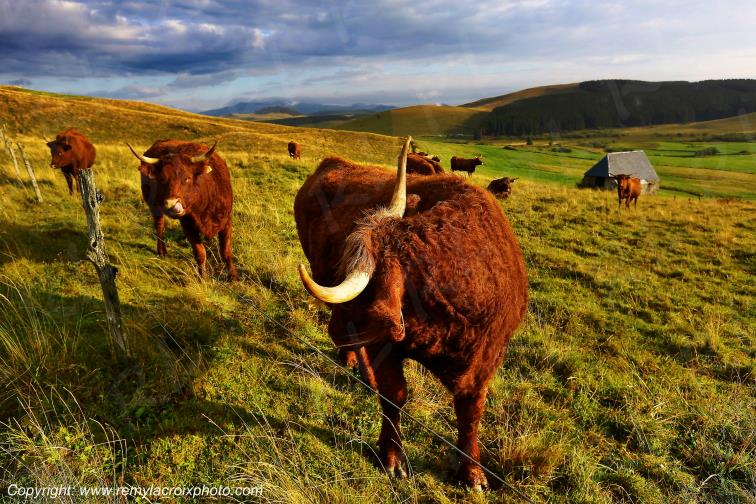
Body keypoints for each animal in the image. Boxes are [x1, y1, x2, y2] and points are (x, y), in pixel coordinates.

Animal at [127, 140, 238, 281]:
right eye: (162, 179)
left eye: (187, 178)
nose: (172, 204)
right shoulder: (187, 224)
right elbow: (200, 252)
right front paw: (202, 277)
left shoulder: (226, 220)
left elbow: (225, 251)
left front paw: (234, 277)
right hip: (154, 206)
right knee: (159, 226)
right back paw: (162, 251)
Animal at [294, 138, 528, 490]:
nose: (338, 329)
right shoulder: (386, 343)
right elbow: (395, 396)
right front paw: (392, 457)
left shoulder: (486, 359)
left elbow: (471, 411)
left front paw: (471, 471)